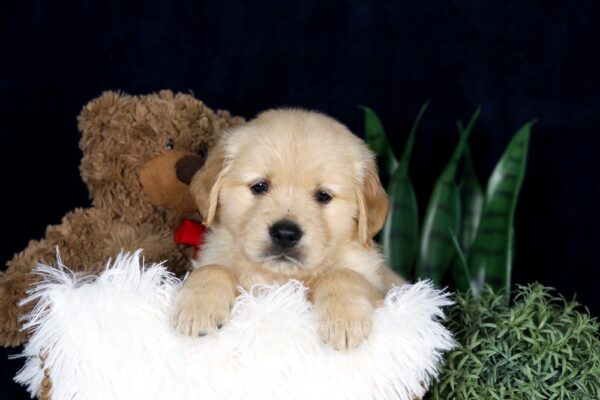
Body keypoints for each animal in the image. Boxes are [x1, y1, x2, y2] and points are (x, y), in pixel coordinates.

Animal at [172, 108, 404, 348]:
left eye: (324, 196)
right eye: (259, 186)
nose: (285, 234)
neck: (279, 276)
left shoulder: (381, 289)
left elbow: (342, 274)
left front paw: (343, 321)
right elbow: (212, 268)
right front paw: (198, 308)